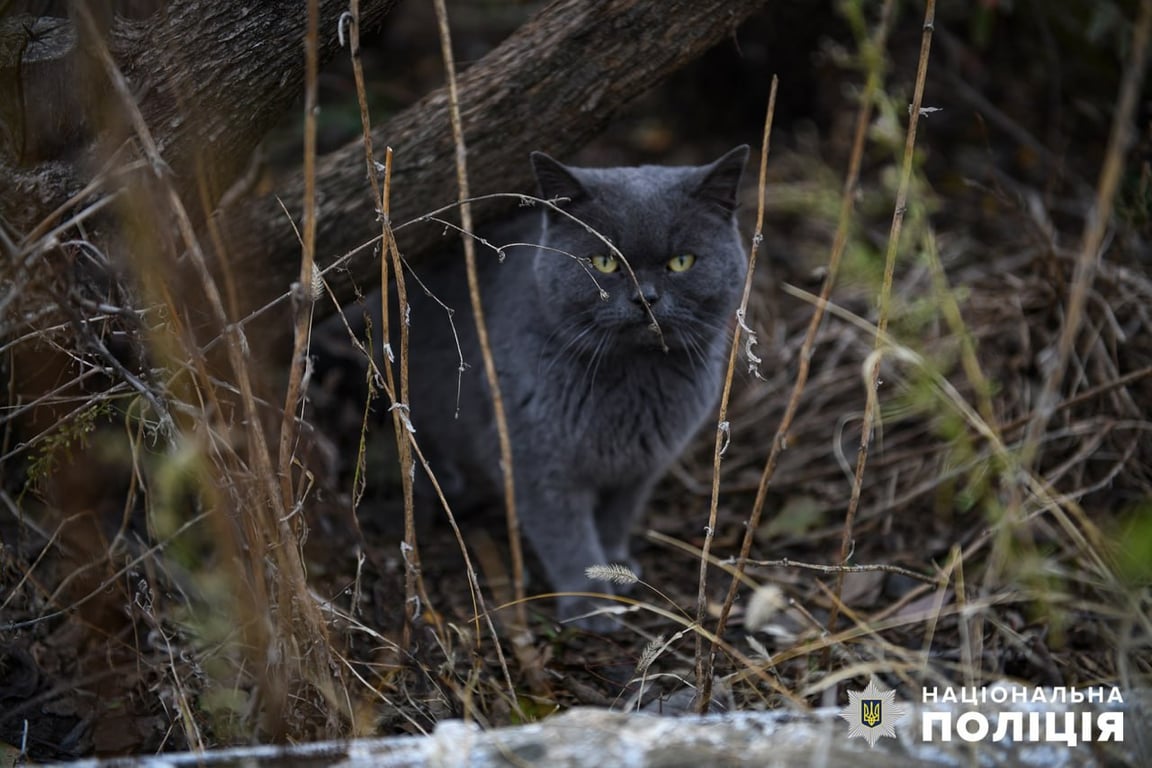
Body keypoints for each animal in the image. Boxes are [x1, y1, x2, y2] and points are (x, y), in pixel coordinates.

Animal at [329, 147, 751, 626]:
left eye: (682, 262)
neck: (632, 381)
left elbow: (616, 517)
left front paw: (618, 565)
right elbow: (566, 535)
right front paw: (591, 604)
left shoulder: (643, 465)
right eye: (604, 262)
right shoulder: (534, 459)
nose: (646, 298)